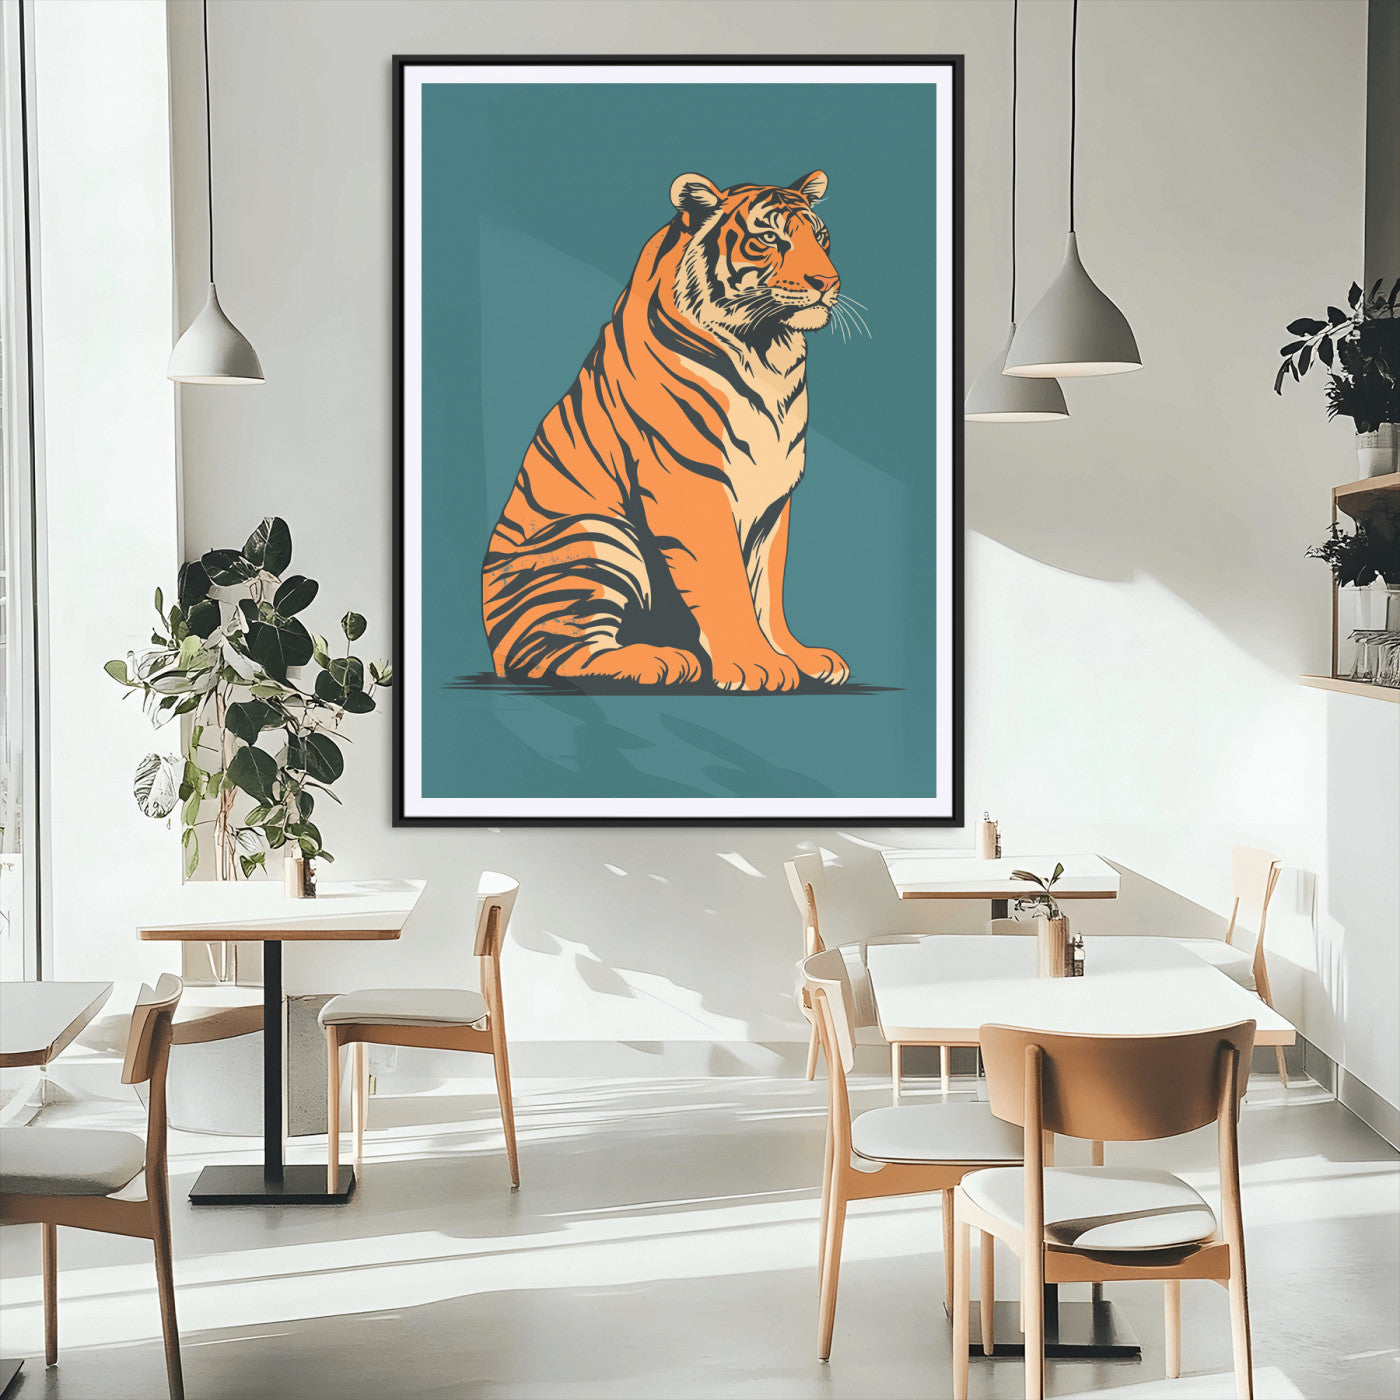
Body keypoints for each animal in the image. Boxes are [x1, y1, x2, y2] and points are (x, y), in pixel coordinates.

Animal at [480, 169, 851, 693]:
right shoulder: (692, 484)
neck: (769, 354)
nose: (828, 281)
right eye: (768, 239)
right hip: (597, 539)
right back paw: (664, 660)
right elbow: (726, 582)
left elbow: (767, 588)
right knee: (558, 656)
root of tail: (493, 645)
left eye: (821, 238)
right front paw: (755, 664)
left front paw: (797, 656)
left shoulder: (774, 498)